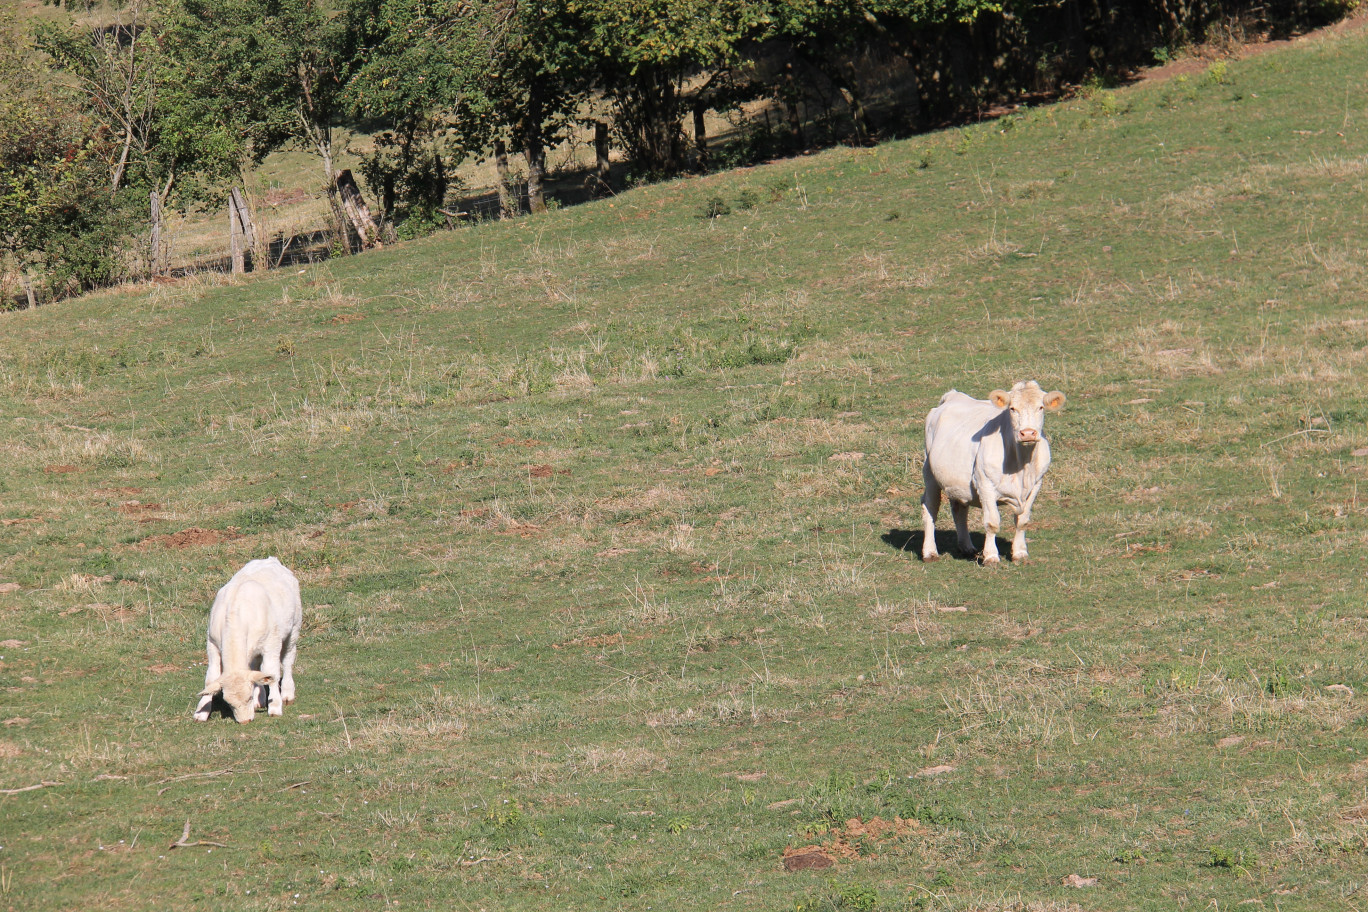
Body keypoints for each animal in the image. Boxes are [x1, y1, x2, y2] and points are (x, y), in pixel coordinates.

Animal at [190, 557, 299, 727]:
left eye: (248, 697)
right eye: (229, 703)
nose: (245, 721)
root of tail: (270, 559)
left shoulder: (271, 643)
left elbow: (272, 672)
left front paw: (275, 707)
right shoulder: (212, 643)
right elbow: (211, 678)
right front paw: (201, 711)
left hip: (293, 629)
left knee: (287, 660)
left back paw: (287, 693)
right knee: (256, 667)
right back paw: (260, 699)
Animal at [924, 377, 1061, 563]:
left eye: (1040, 407)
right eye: (1012, 408)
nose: (1028, 433)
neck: (1021, 465)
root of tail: (953, 395)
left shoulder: (1036, 485)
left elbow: (1023, 520)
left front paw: (1020, 553)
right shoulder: (985, 484)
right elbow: (992, 523)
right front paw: (990, 556)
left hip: (957, 482)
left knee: (959, 510)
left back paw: (966, 547)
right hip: (929, 473)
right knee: (930, 508)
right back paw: (930, 552)